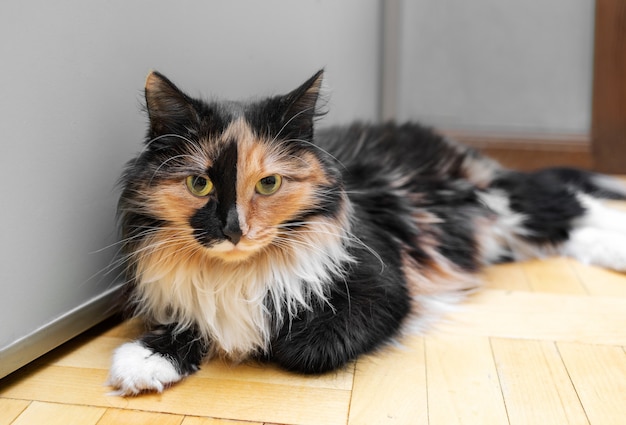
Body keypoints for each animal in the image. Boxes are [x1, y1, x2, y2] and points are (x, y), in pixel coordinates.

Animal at [107, 68, 624, 394]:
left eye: (268, 183)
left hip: (501, 203)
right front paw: (143, 361)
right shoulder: (188, 299)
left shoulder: (382, 287)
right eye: (201, 183)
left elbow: (298, 346)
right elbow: (190, 323)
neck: (236, 274)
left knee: (576, 203)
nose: (234, 229)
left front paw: (268, 339)